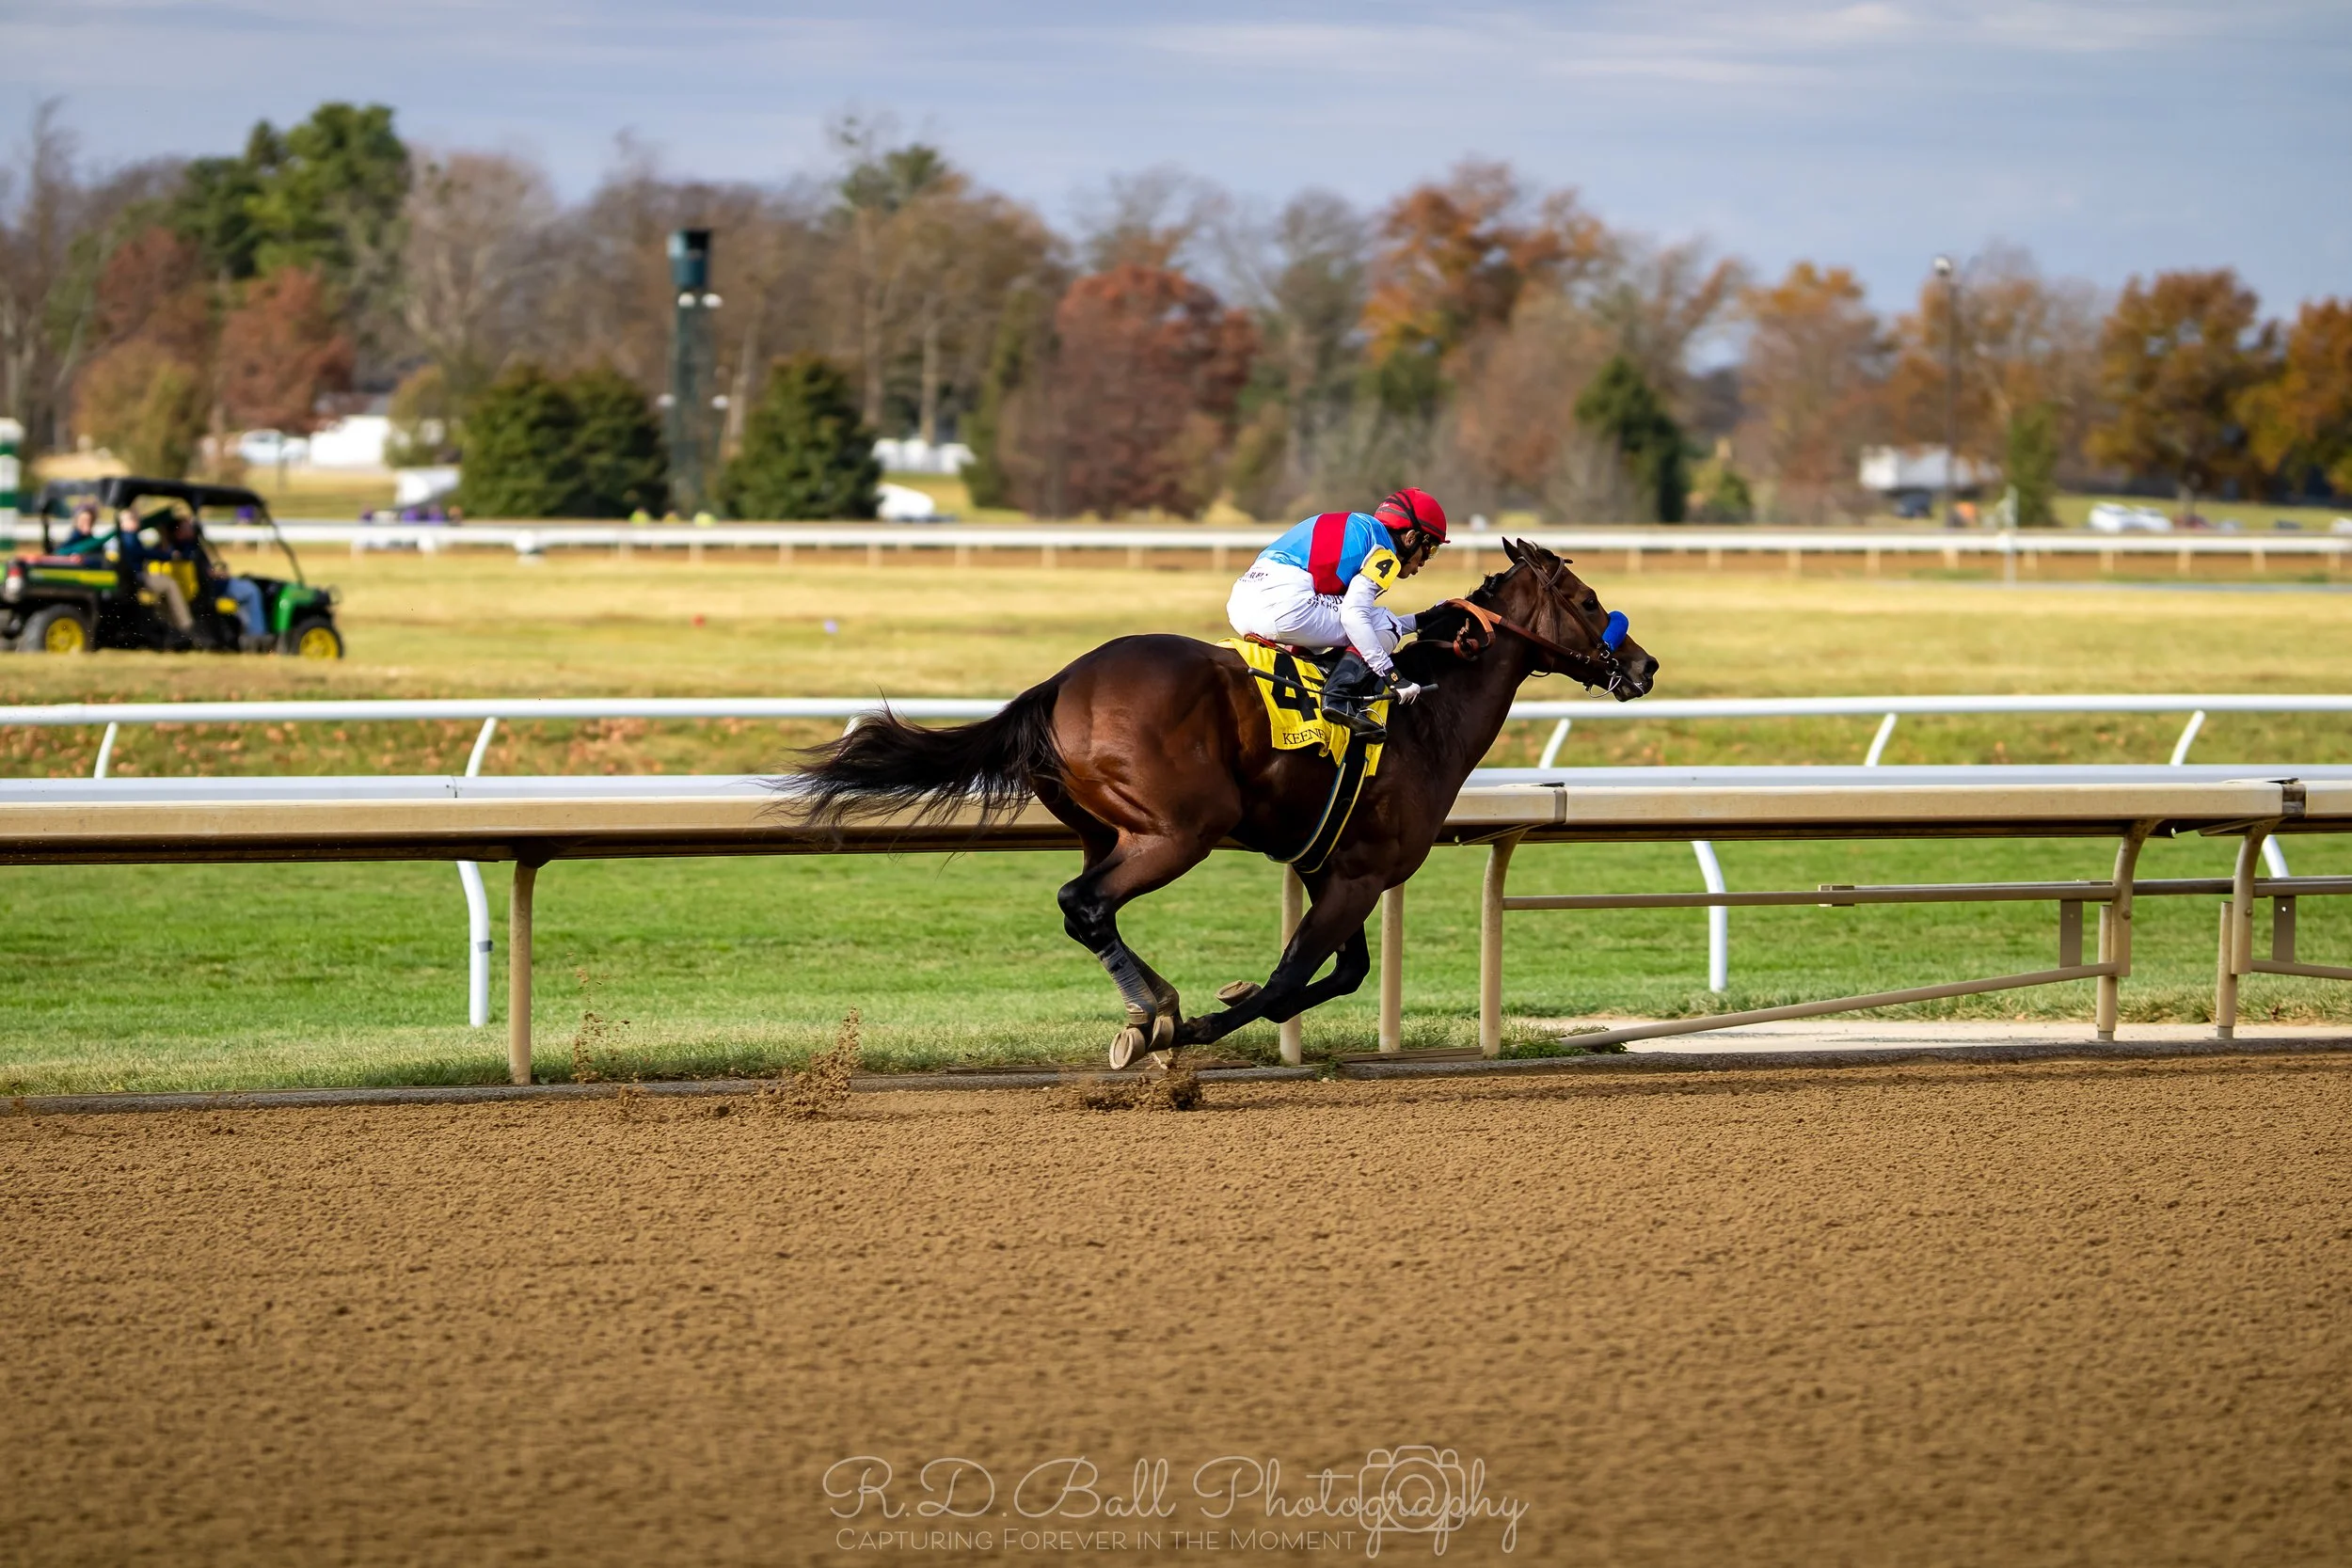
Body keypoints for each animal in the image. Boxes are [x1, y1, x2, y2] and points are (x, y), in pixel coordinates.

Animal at [795, 537, 1658, 1064]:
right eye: (1587, 599)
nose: (1645, 665)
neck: (1426, 716)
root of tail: (1063, 683)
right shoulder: (1359, 875)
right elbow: (1287, 982)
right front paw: (1203, 1024)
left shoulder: (1330, 867)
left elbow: (1345, 972)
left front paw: (1207, 1005)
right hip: (1181, 830)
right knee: (1085, 902)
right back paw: (1156, 1016)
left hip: (1107, 828)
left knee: (1087, 908)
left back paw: (1152, 1006)